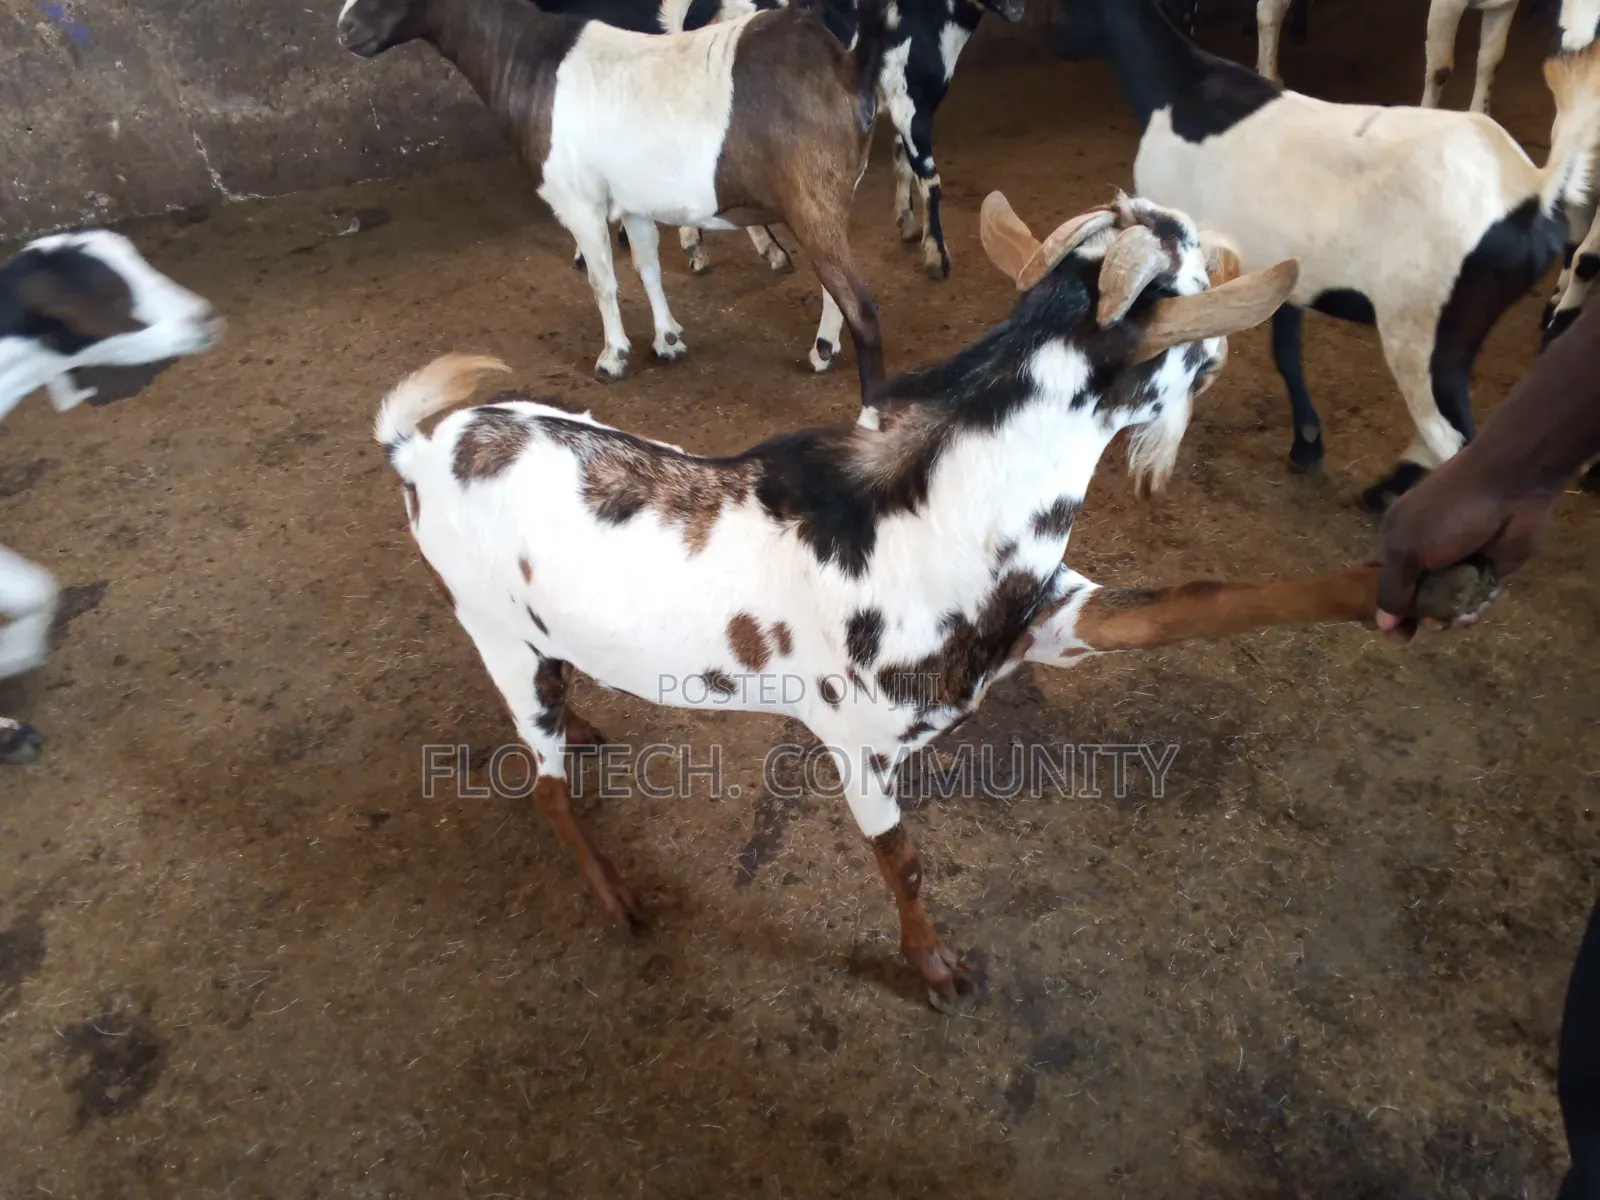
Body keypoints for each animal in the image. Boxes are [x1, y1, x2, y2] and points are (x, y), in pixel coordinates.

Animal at [339, 0, 891, 404]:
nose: (344, 30)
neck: (533, 62)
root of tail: (844, 66)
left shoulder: (577, 199)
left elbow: (603, 281)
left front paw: (613, 358)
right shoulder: (633, 201)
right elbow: (648, 268)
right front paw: (667, 340)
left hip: (811, 197)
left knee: (860, 304)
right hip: (828, 199)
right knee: (837, 287)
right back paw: (822, 351)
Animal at [372, 189, 1334, 1009]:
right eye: (1195, 293)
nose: (1223, 354)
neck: (922, 519)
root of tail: (419, 449)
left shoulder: (1046, 619)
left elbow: (1182, 602)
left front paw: (1366, 589)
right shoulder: (858, 745)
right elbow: (901, 862)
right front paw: (936, 970)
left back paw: (584, 723)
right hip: (493, 632)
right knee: (543, 789)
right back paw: (616, 897)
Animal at [554, 0, 1024, 283]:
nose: (1018, 8)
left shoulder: (897, 104)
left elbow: (902, 163)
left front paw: (907, 225)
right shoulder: (912, 102)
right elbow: (931, 179)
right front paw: (936, 254)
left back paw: (706, 248)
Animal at [1053, 0, 1600, 511]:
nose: (1058, 44)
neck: (1176, 89)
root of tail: (1535, 190)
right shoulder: (1290, 271)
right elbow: (1286, 353)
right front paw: (1308, 443)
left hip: (1425, 335)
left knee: (1454, 440)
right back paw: (1386, 489)